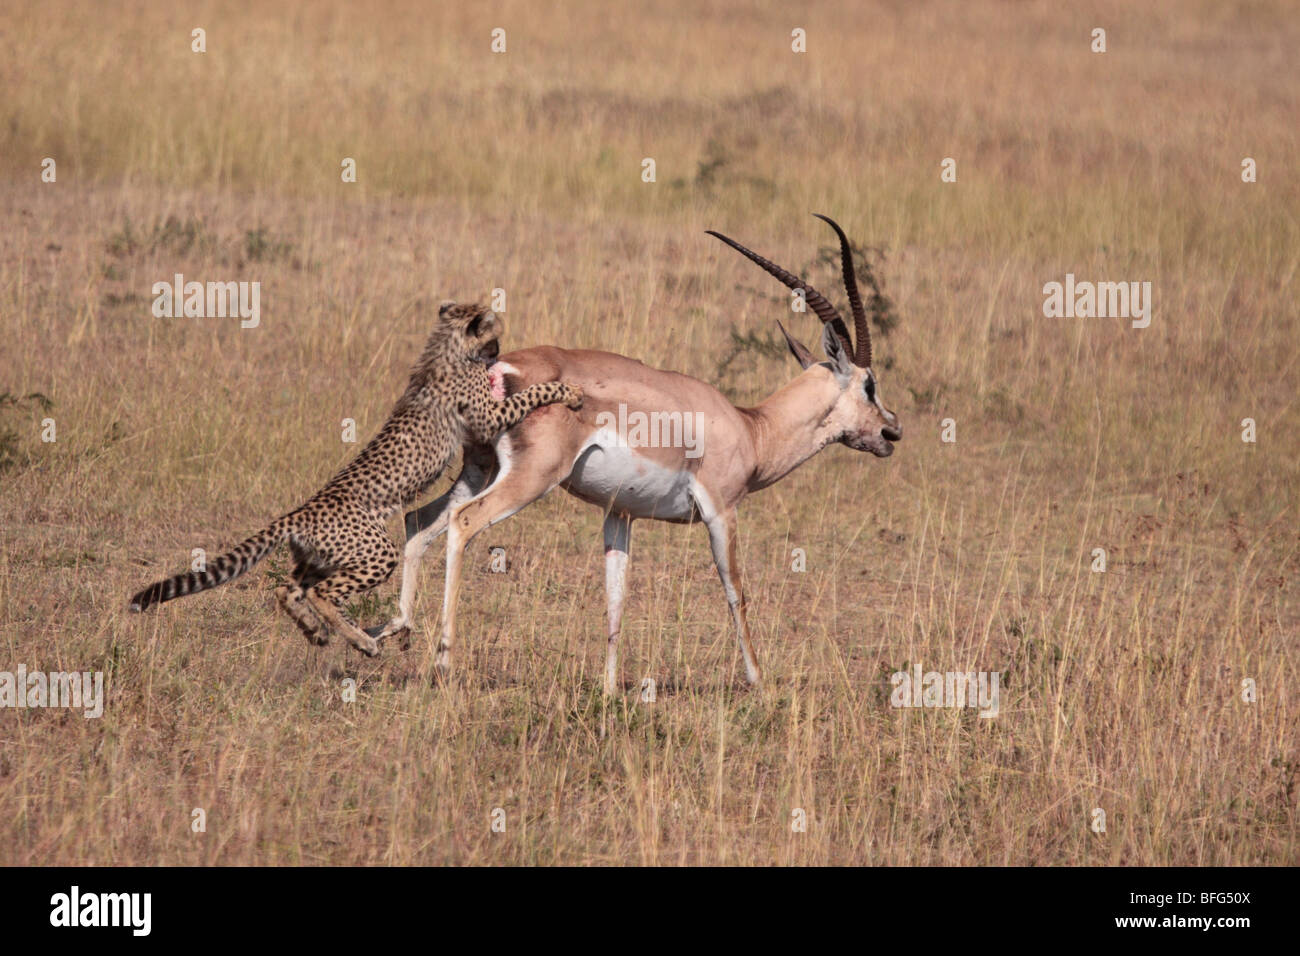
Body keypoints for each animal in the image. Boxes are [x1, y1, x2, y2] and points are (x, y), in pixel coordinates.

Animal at [128, 300, 585, 658]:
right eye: (494, 336)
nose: (499, 350)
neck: (446, 345)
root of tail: (301, 511)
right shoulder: (488, 415)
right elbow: (532, 394)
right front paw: (569, 391)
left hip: (322, 557)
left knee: (287, 589)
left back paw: (316, 632)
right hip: (375, 552)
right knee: (321, 593)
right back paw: (361, 641)